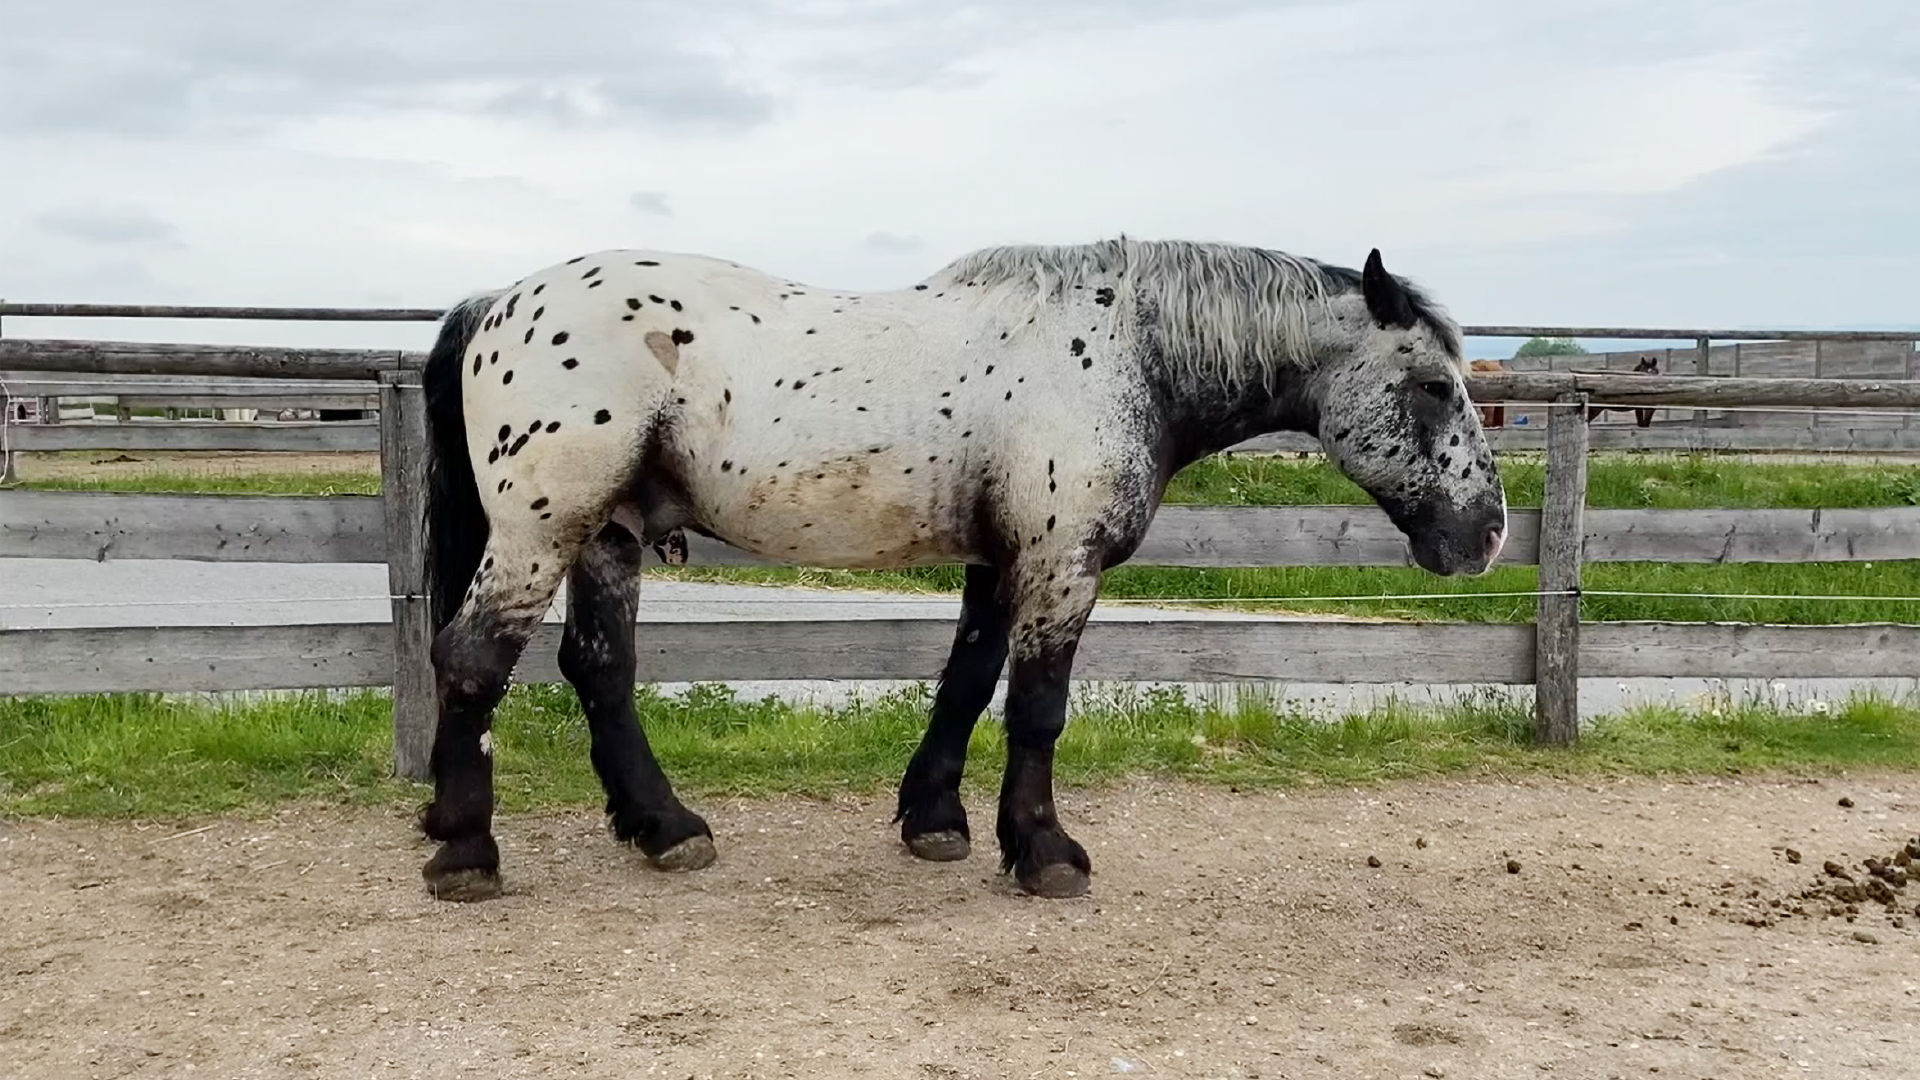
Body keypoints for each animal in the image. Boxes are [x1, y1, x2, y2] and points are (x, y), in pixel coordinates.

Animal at [412, 233, 1505, 899]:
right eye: (1431, 388)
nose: (1485, 534)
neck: (1124, 354)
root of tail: (499, 300)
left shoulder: (1002, 559)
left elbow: (968, 684)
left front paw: (937, 820)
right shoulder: (1063, 562)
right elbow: (1038, 708)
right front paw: (1046, 852)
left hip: (607, 534)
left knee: (599, 670)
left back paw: (665, 828)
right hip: (539, 533)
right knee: (472, 662)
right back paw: (467, 849)